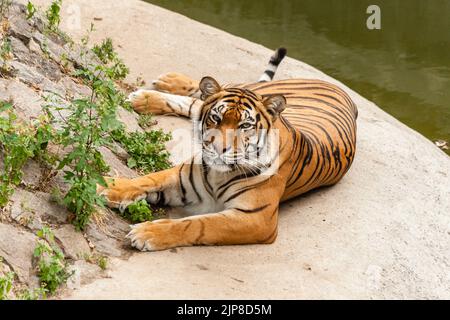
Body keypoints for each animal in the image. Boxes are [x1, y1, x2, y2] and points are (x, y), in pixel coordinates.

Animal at [98, 48, 358, 252]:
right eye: (216, 118)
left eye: (245, 126)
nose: (217, 148)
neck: (218, 175)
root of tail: (338, 87)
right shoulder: (181, 176)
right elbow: (146, 180)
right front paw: (105, 187)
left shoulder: (255, 219)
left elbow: (199, 224)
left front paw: (146, 234)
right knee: (203, 94)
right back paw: (157, 88)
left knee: (197, 101)